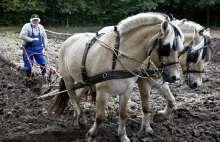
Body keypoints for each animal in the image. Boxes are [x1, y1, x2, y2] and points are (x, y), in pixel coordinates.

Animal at [50, 12, 185, 141]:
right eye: (165, 47)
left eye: (180, 48)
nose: (175, 77)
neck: (118, 57)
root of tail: (69, 39)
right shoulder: (104, 92)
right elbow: (100, 117)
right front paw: (92, 135)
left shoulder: (128, 89)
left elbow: (124, 113)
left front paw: (123, 135)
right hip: (68, 78)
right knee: (72, 95)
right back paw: (82, 120)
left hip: (85, 82)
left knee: (77, 97)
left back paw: (77, 116)